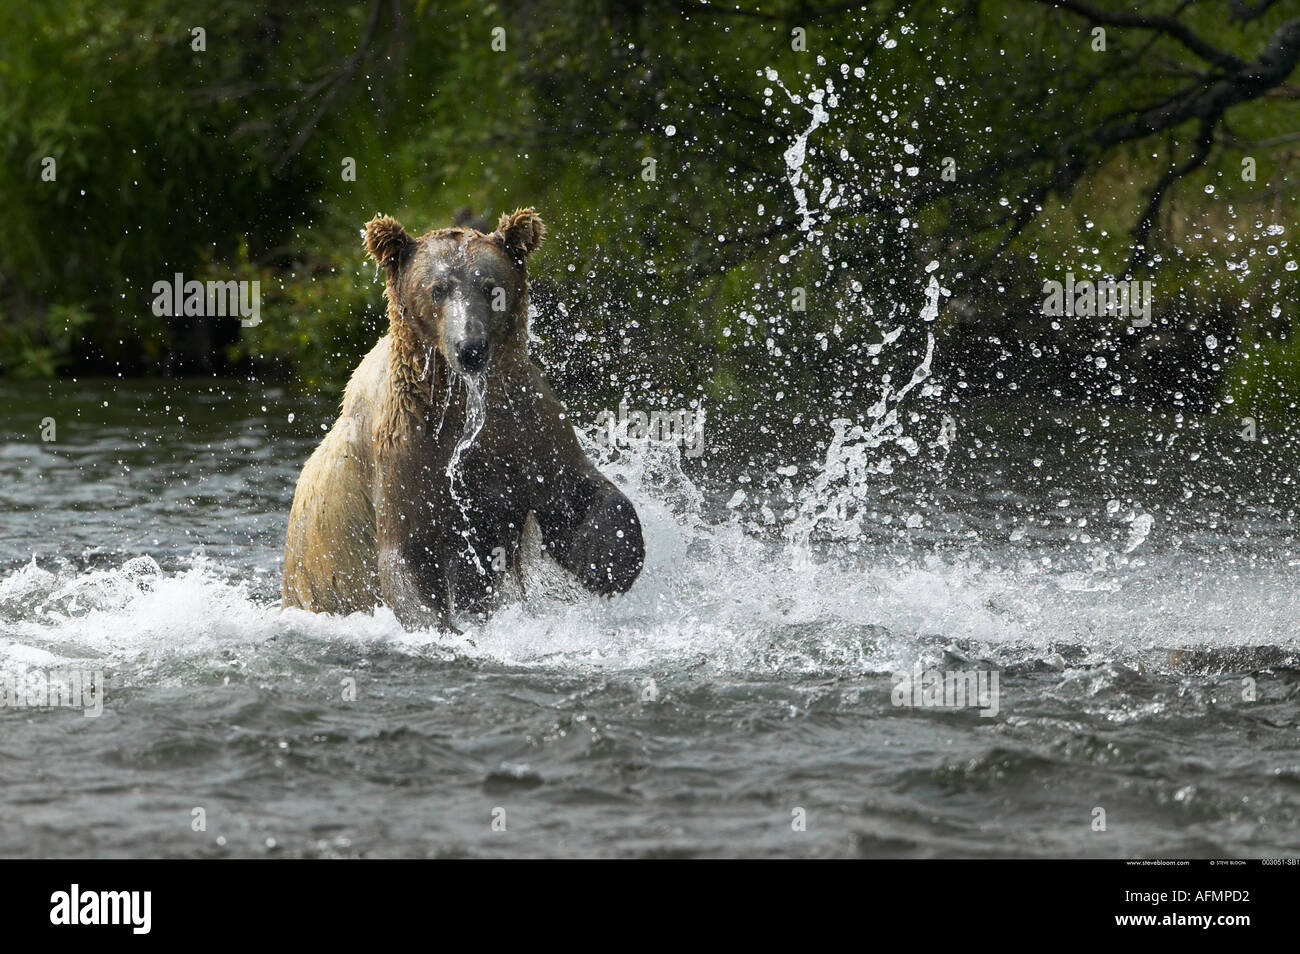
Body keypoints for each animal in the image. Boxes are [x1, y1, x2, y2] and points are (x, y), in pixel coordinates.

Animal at [286, 207, 650, 629]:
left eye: (490, 287)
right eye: (438, 288)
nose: (470, 347)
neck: (464, 400)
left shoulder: (526, 425)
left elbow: (577, 495)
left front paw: (607, 559)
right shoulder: (403, 446)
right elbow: (407, 552)